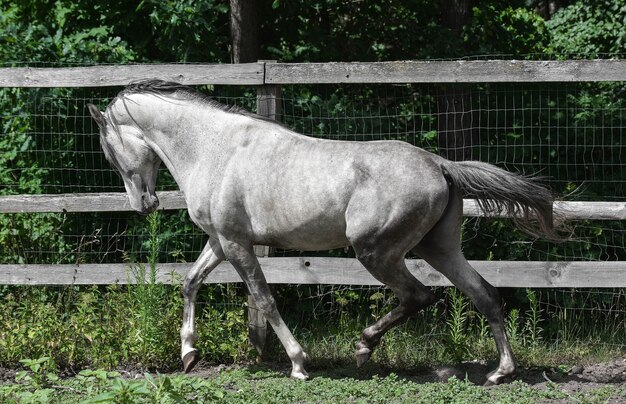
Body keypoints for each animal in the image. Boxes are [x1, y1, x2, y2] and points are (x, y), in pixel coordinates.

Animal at [88, 79, 556, 386]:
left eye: (109, 151)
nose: (143, 204)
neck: (214, 149)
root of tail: (440, 164)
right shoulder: (220, 241)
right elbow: (189, 282)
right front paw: (188, 354)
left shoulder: (238, 244)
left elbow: (265, 299)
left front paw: (299, 364)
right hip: (438, 248)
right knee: (484, 294)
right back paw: (499, 372)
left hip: (376, 252)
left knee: (419, 295)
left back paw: (364, 347)